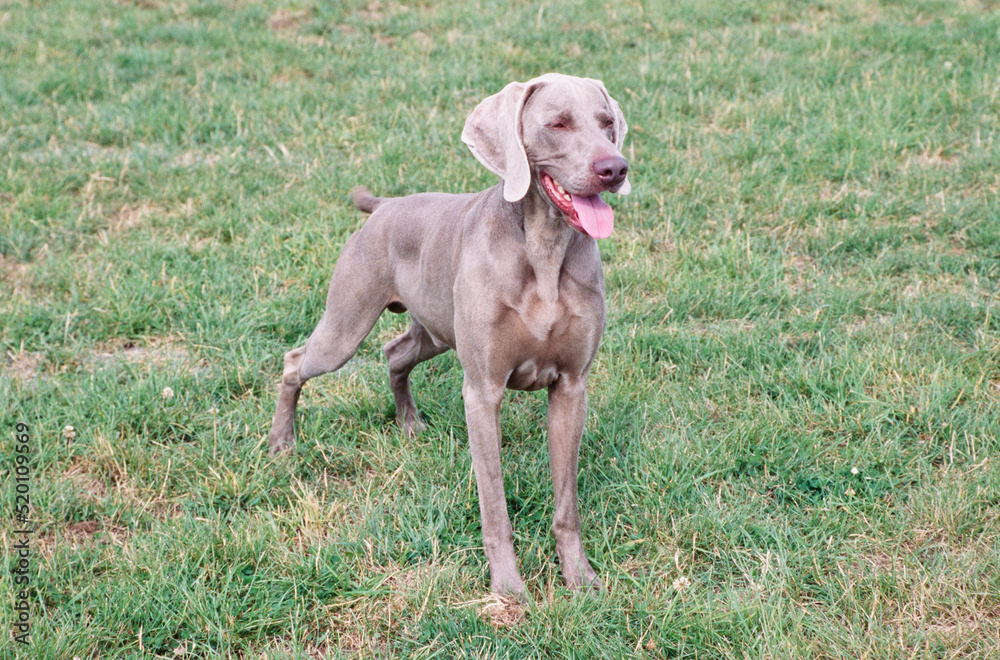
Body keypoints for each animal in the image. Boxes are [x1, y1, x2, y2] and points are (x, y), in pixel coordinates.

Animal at [270, 73, 628, 600]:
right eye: (558, 124)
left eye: (607, 124)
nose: (615, 168)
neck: (543, 248)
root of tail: (385, 205)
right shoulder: (482, 391)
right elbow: (494, 503)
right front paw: (508, 588)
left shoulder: (571, 388)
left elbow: (567, 504)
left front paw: (579, 579)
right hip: (345, 326)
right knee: (296, 361)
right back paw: (282, 442)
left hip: (433, 330)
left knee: (394, 353)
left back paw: (409, 422)